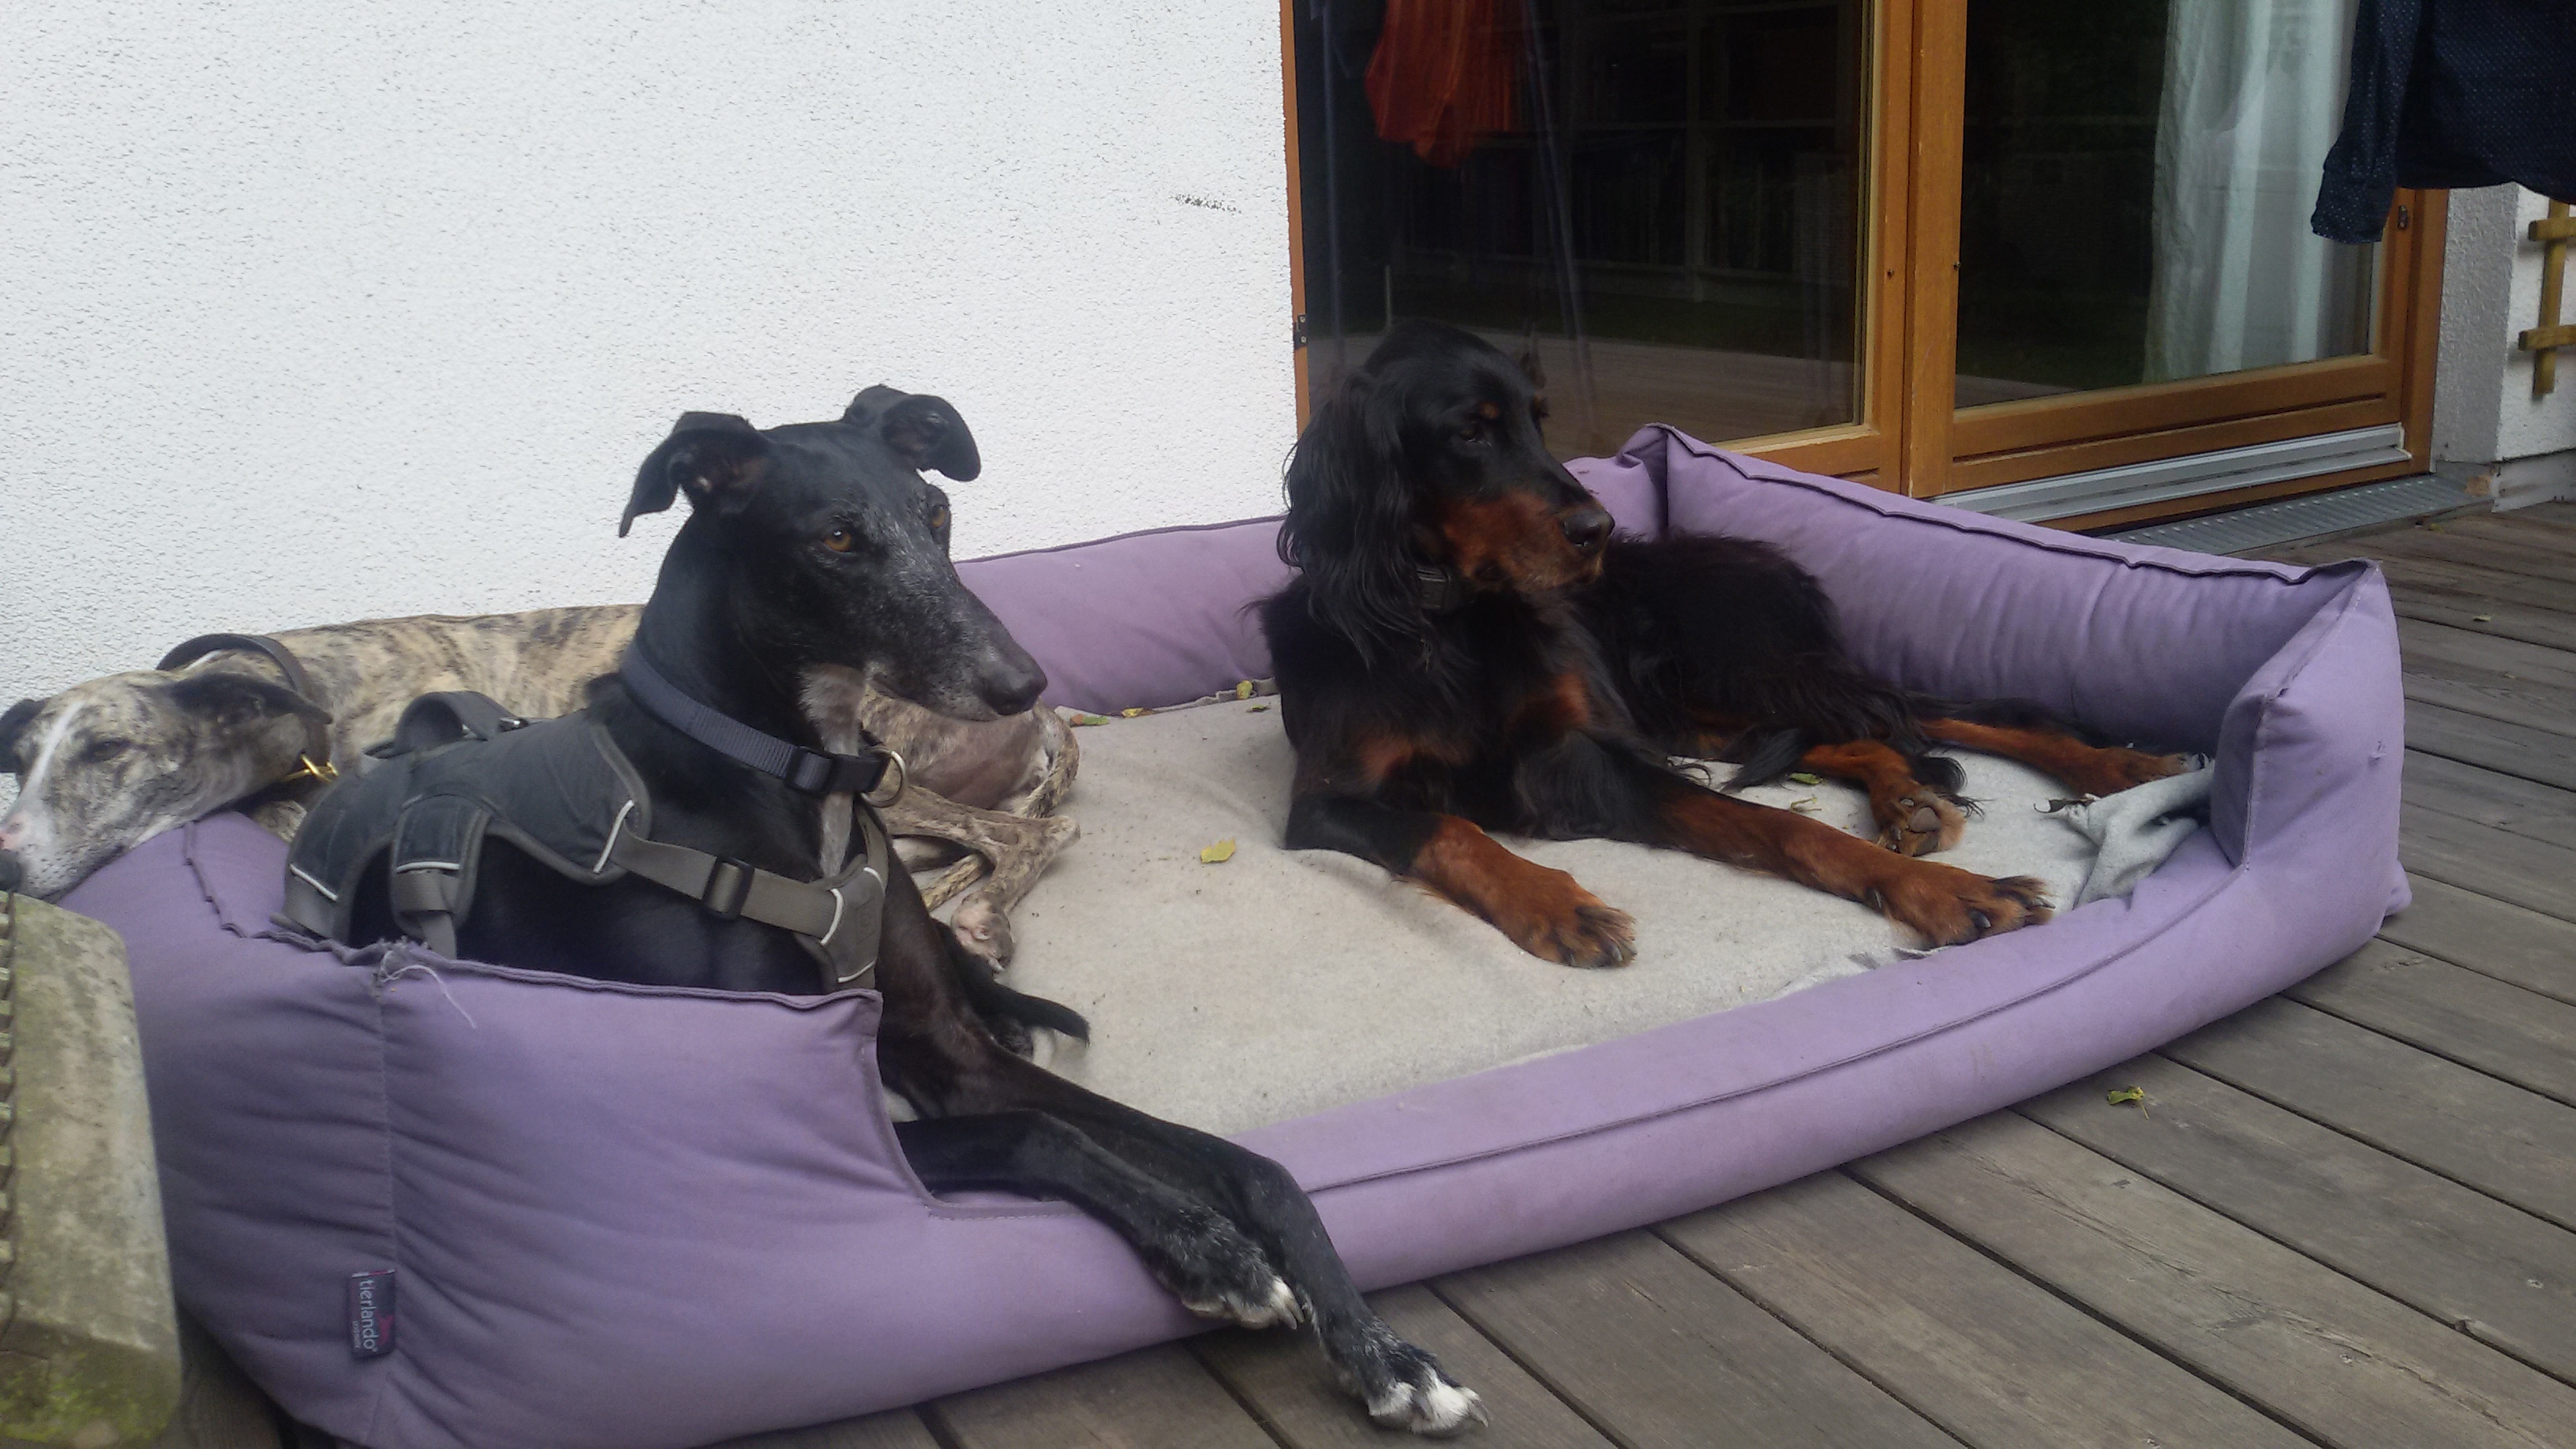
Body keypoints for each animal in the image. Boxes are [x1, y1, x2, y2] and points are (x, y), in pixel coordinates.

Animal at [0, 612, 1077, 966]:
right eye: (23, 760)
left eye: (107, 749)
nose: (7, 866)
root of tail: (1045, 713)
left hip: (895, 778)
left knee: (1033, 838)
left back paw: (983, 916)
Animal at [287, 388, 1482, 1434]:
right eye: (836, 539)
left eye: (936, 515)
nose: (1021, 683)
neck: (787, 774)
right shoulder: (819, 1109)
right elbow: (1042, 1134)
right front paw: (1214, 1252)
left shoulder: (947, 1054)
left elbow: (1246, 1163)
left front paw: (1385, 1356)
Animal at [1260, 322, 2191, 968]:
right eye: (1470, 432)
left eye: (1536, 421)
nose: (1596, 529)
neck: (1451, 622)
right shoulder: (1328, 802)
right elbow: (1451, 829)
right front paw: (1558, 905)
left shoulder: (1586, 752)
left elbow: (1774, 824)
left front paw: (1948, 894)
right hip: (1694, 709)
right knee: (1861, 736)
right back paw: (1911, 801)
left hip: (1732, 670)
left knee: (1923, 712)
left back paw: (2127, 766)